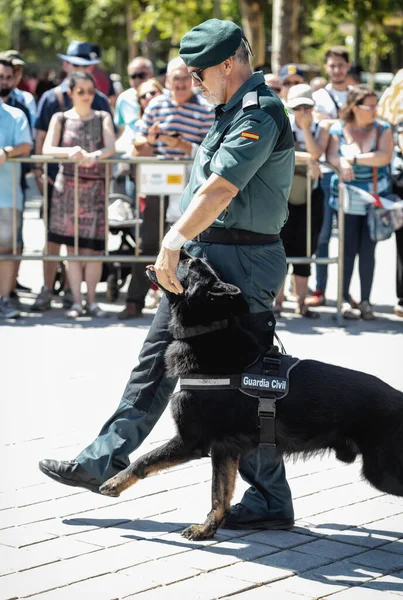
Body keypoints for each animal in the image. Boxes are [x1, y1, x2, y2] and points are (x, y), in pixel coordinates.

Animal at [100, 248, 403, 540]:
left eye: (190, 263)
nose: (180, 247)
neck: (207, 331)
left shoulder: (190, 441)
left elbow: (145, 459)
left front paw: (114, 482)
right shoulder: (224, 450)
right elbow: (219, 496)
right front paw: (207, 530)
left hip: (382, 472)